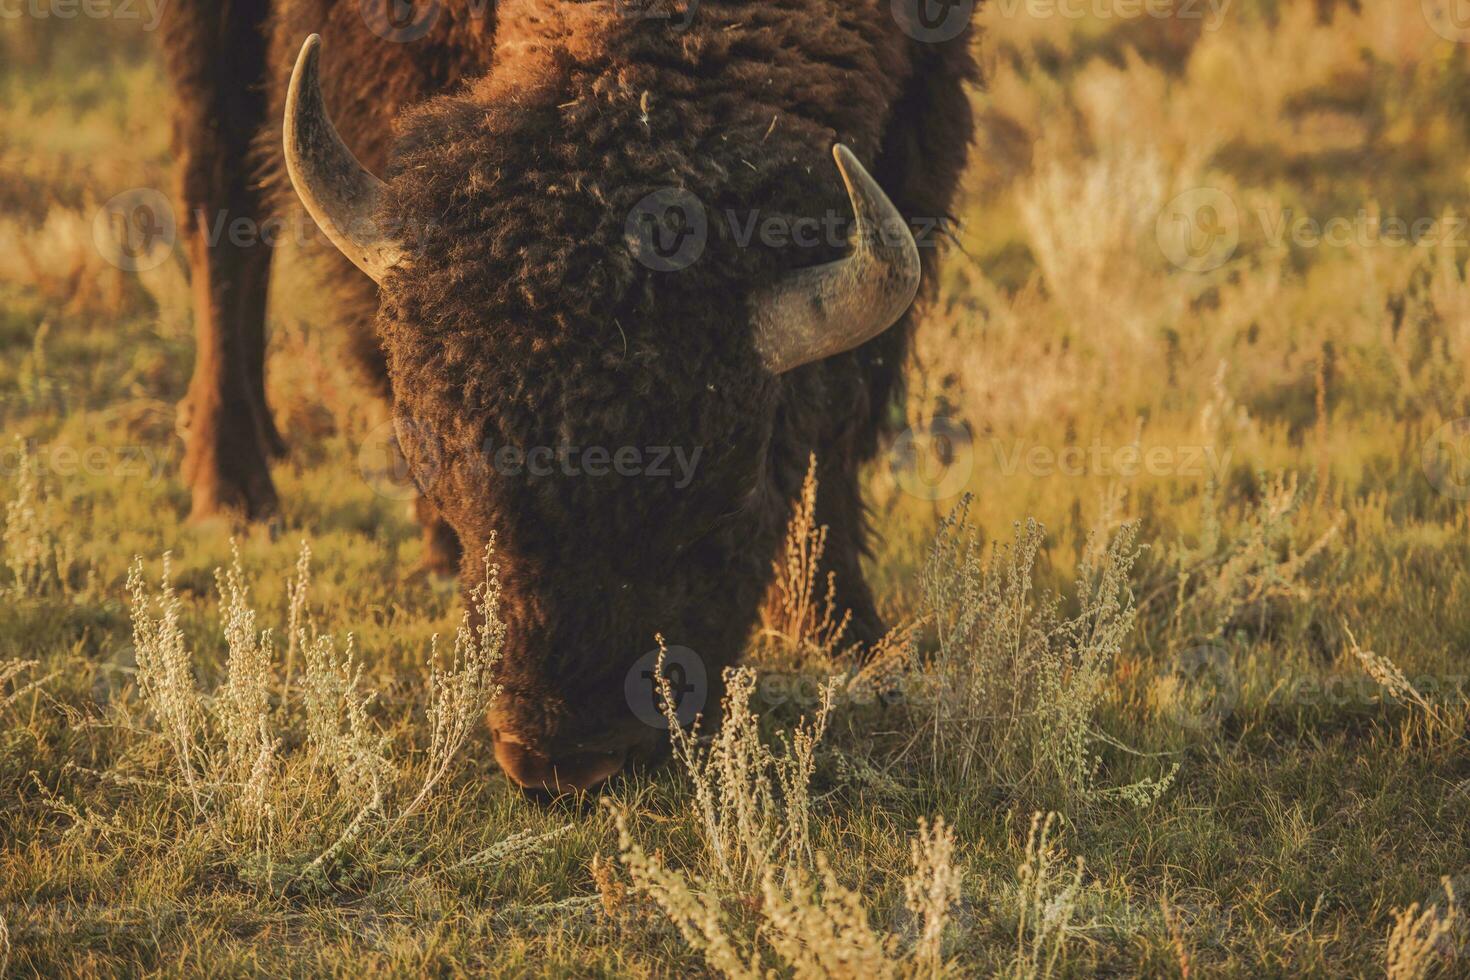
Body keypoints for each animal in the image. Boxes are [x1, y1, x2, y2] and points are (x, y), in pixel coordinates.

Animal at [160, 0, 976, 793]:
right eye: (452, 479)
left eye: (726, 504)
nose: (562, 761)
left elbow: (844, 413)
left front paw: (843, 630)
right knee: (217, 194)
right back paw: (231, 490)